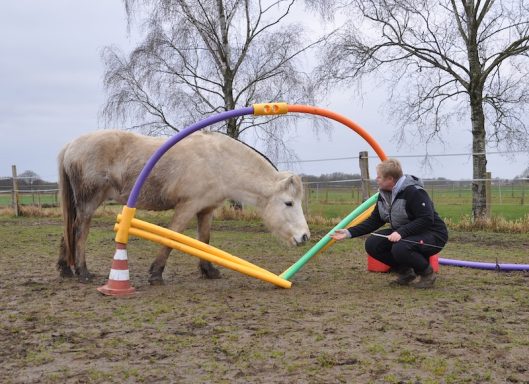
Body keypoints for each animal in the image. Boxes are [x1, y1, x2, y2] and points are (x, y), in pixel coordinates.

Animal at [56, 130, 310, 284]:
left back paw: (65, 269)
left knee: (68, 229)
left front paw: (209, 271)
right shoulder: (187, 207)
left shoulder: (206, 210)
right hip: (89, 203)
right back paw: (83, 272)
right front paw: (156, 274)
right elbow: (172, 237)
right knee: (79, 232)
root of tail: (70, 146)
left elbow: (204, 240)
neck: (219, 162)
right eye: (288, 203)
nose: (305, 237)